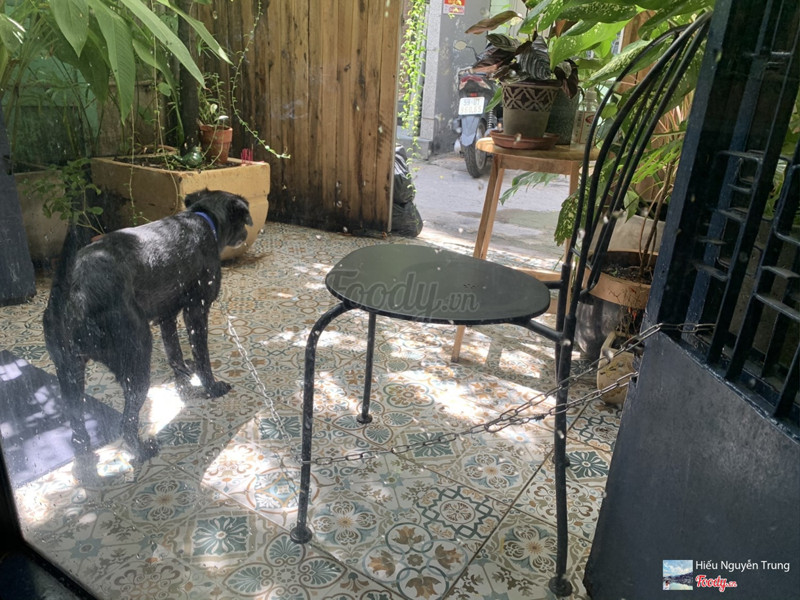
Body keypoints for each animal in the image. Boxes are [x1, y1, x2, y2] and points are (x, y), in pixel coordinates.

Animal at [43, 189, 252, 466]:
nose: (247, 234)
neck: (204, 218)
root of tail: (73, 293)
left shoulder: (167, 316)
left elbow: (174, 350)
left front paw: (183, 374)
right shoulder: (196, 311)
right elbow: (202, 357)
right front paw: (212, 387)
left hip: (69, 371)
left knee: (76, 419)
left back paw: (85, 450)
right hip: (137, 361)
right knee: (126, 422)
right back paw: (142, 451)